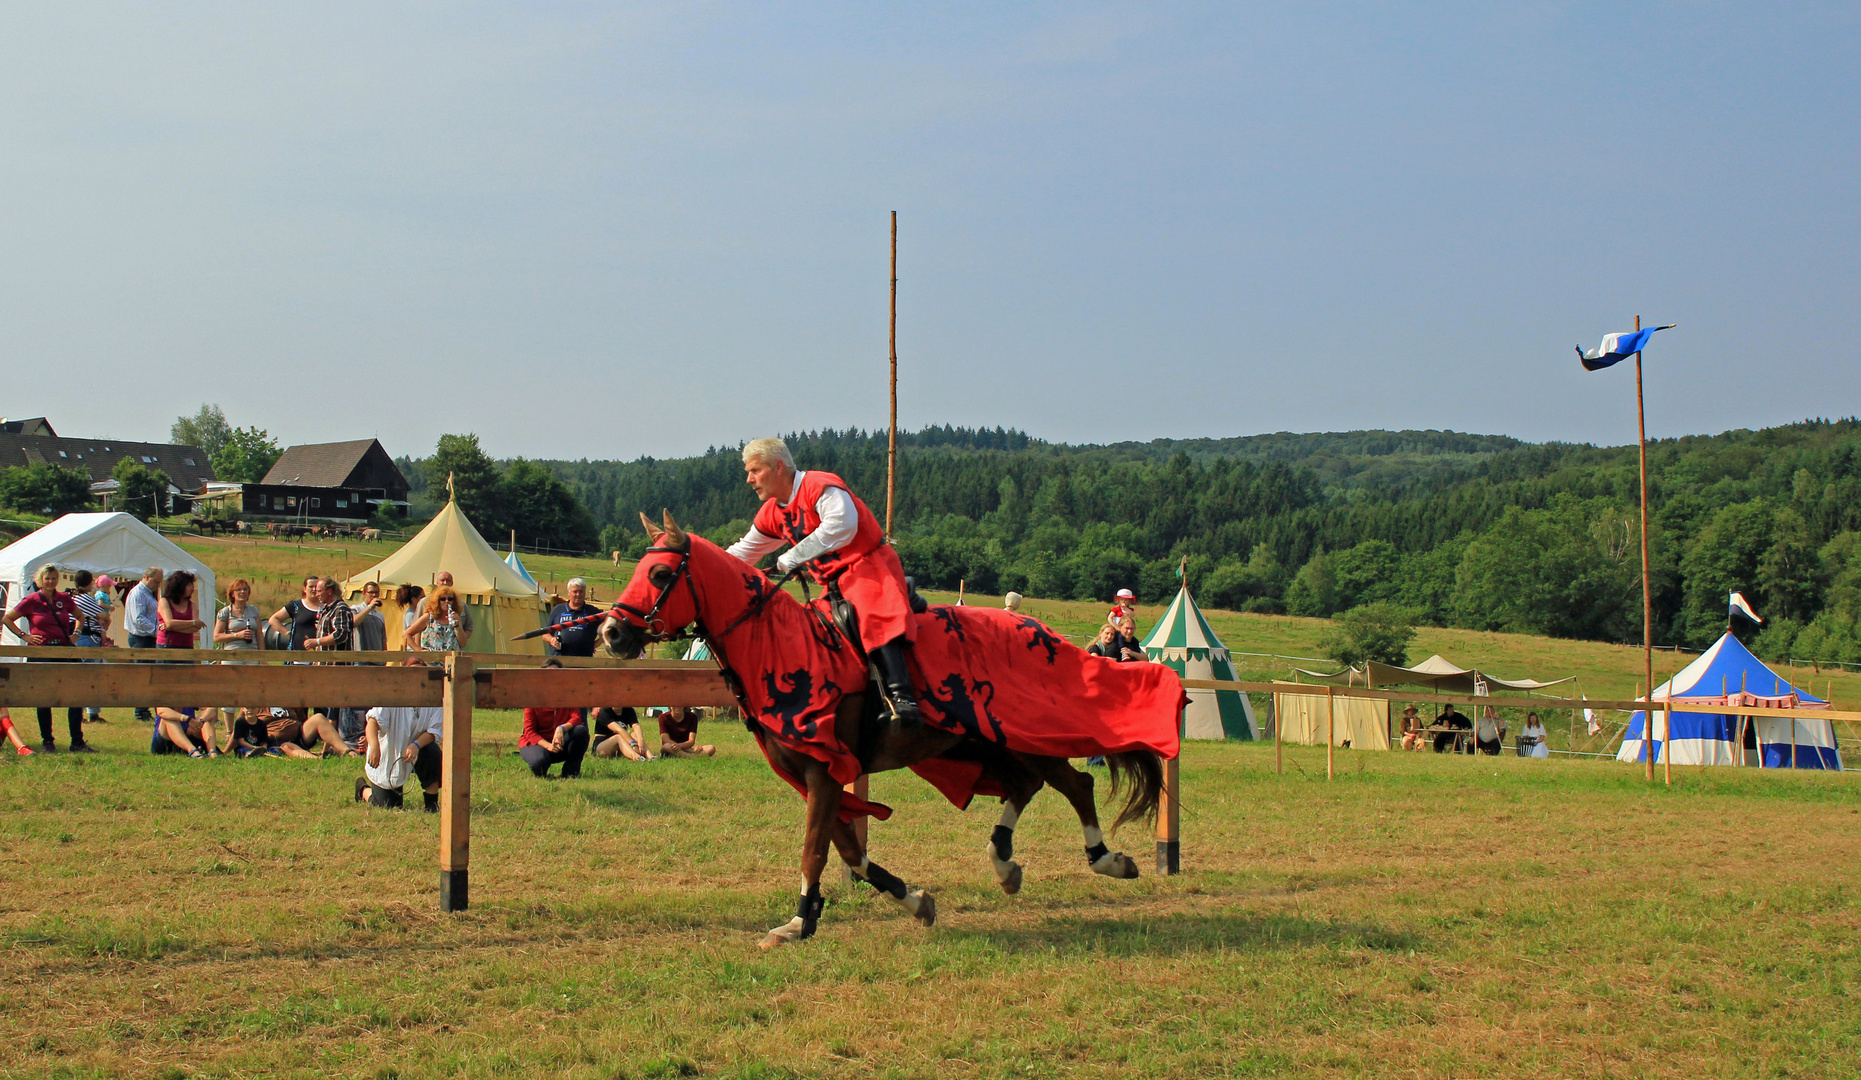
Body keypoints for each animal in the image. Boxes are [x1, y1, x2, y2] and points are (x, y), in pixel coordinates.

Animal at [599, 510, 1176, 949]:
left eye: (659, 575)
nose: (611, 632)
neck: (780, 644)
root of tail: (1036, 628)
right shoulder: (817, 777)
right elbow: (850, 852)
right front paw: (911, 901)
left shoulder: (825, 772)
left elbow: (815, 849)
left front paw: (799, 922)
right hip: (984, 744)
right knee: (1026, 785)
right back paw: (1004, 863)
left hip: (1029, 735)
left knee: (1076, 783)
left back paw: (1107, 860)